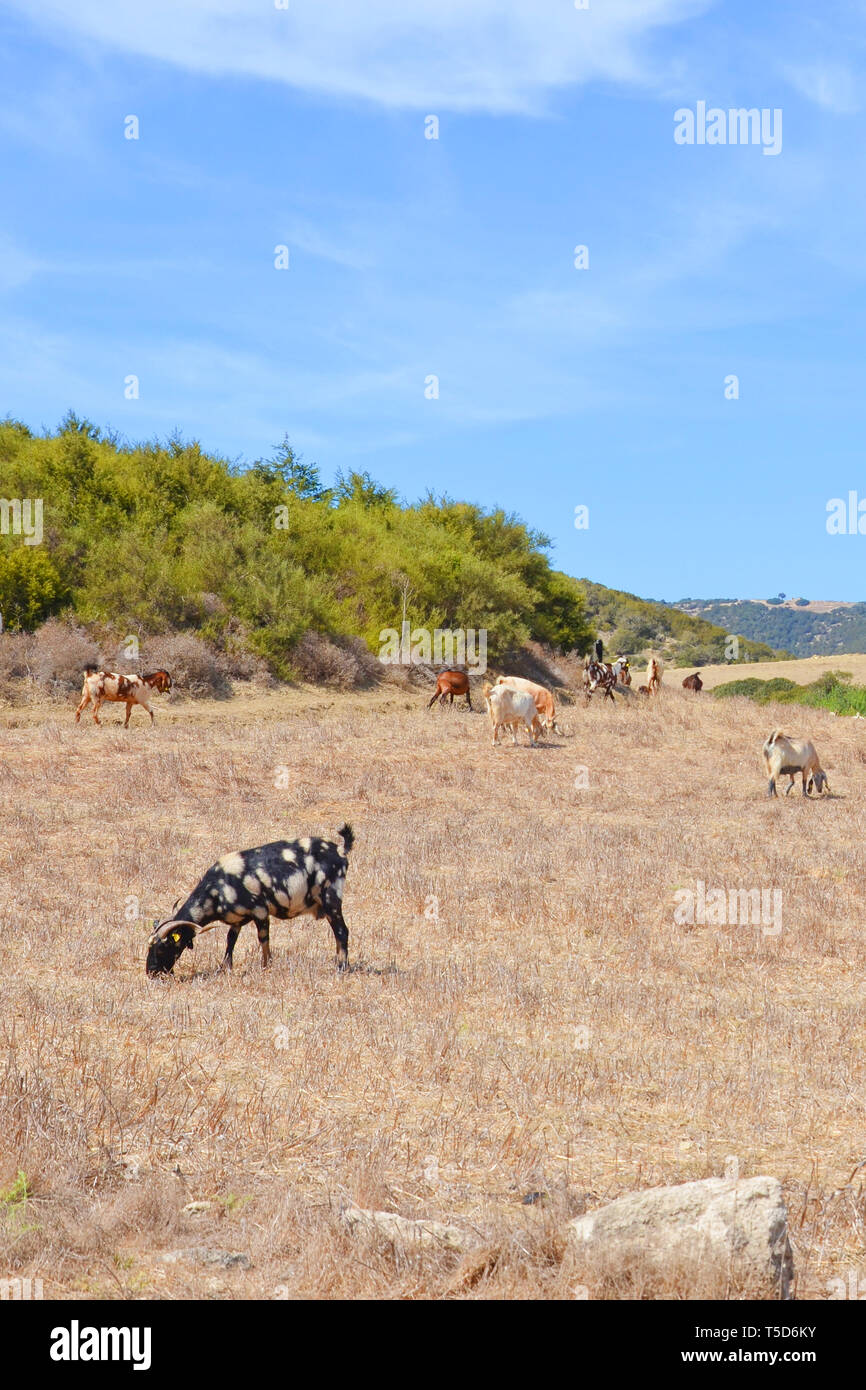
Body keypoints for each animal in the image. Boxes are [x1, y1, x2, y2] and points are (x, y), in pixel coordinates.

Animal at [145, 822, 353, 978]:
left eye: (163, 947)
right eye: (150, 946)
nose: (151, 973)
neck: (218, 887)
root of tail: (340, 850)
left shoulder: (260, 911)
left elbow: (263, 939)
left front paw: (266, 966)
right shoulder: (237, 920)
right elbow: (230, 940)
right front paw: (225, 967)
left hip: (331, 899)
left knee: (341, 931)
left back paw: (342, 968)